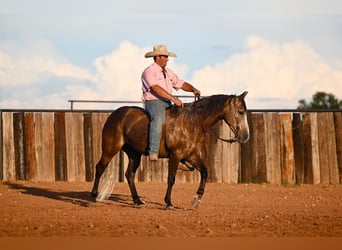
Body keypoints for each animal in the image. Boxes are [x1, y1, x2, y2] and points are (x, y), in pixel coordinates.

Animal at [91, 91, 250, 210]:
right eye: (240, 111)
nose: (245, 136)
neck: (192, 122)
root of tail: (115, 114)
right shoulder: (175, 155)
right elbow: (171, 178)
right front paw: (168, 203)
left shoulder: (191, 156)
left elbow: (205, 172)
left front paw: (196, 199)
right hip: (110, 149)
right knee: (99, 168)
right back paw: (93, 197)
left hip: (134, 154)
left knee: (129, 174)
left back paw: (138, 201)